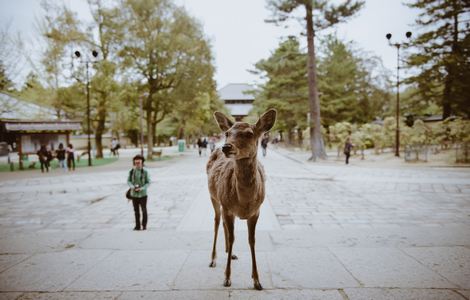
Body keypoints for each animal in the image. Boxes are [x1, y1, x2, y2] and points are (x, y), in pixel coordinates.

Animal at [205, 109, 276, 290]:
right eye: (227, 133)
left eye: (249, 133)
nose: (226, 146)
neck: (245, 202)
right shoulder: (227, 207)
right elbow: (232, 238)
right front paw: (227, 278)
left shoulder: (256, 212)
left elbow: (252, 240)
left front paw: (257, 280)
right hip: (214, 197)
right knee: (217, 221)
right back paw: (213, 259)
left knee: (223, 225)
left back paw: (231, 254)